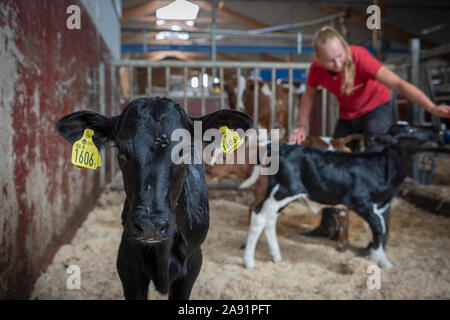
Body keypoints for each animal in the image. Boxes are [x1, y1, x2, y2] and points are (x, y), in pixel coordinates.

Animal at [244, 124, 442, 268]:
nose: (436, 128)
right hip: (284, 191)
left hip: (278, 194)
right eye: (411, 130)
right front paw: (378, 260)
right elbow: (379, 228)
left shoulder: (379, 206)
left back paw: (276, 256)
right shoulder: (360, 201)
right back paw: (249, 261)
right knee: (260, 217)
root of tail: (282, 146)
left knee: (269, 219)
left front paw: (382, 261)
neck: (382, 168)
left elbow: (379, 229)